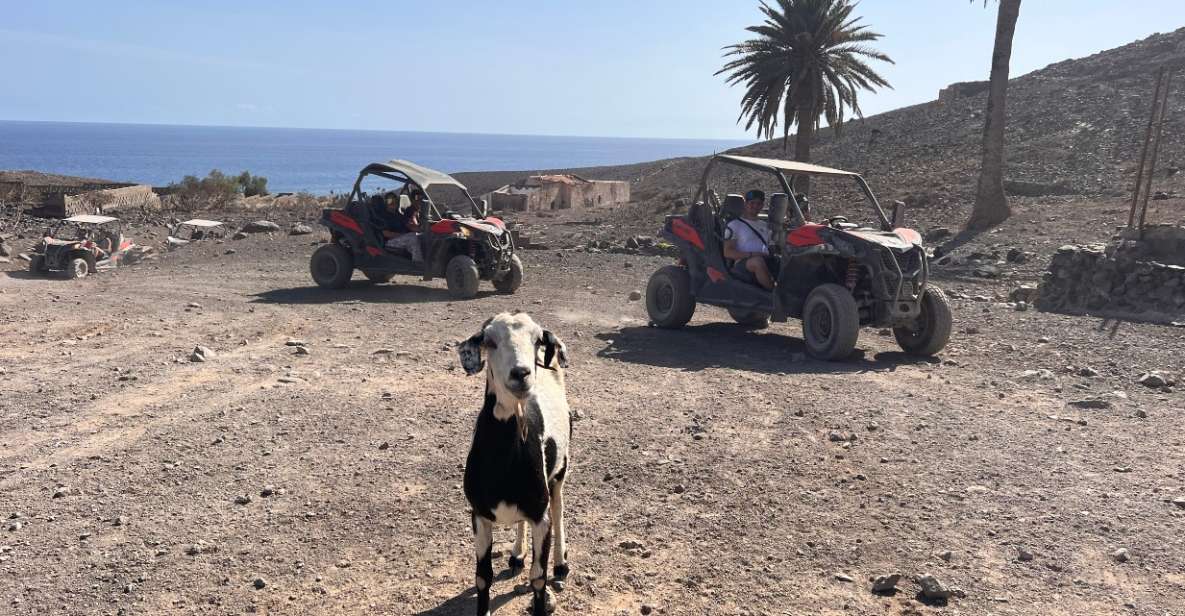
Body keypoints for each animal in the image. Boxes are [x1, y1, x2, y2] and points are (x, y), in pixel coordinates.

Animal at [457, 312, 568, 616]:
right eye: (489, 341)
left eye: (537, 339)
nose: (521, 374)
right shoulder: (479, 515)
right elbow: (483, 576)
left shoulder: (541, 516)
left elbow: (538, 577)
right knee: (521, 523)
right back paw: (517, 554)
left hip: (560, 471)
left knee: (559, 508)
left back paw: (561, 563)